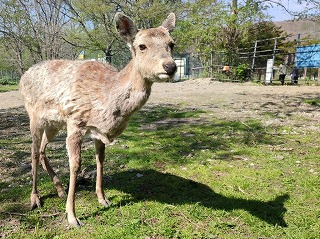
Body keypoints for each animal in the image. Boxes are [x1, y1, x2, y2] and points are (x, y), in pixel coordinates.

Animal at [19, 12, 178, 227]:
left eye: (171, 44)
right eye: (142, 46)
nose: (170, 66)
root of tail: (22, 77)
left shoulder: (97, 130)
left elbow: (100, 160)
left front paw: (103, 199)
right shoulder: (75, 122)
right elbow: (75, 165)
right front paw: (72, 217)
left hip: (53, 123)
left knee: (43, 149)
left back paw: (59, 189)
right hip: (34, 116)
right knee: (34, 151)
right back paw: (35, 198)